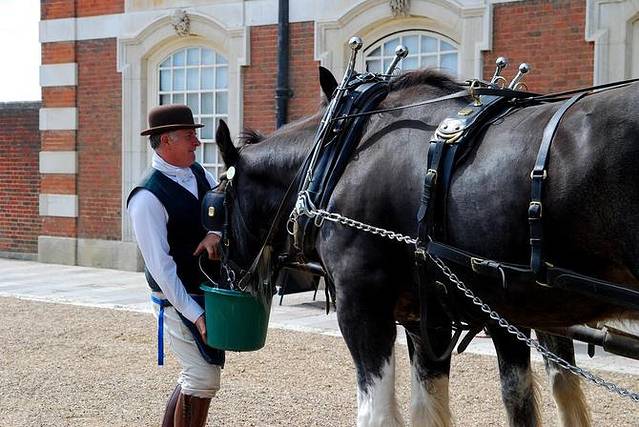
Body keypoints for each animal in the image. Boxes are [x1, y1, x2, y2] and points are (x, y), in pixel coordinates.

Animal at [211, 67, 639, 425]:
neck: (340, 154)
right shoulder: (427, 316)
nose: (227, 275)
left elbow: (378, 415)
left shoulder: (363, 306)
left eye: (216, 206)